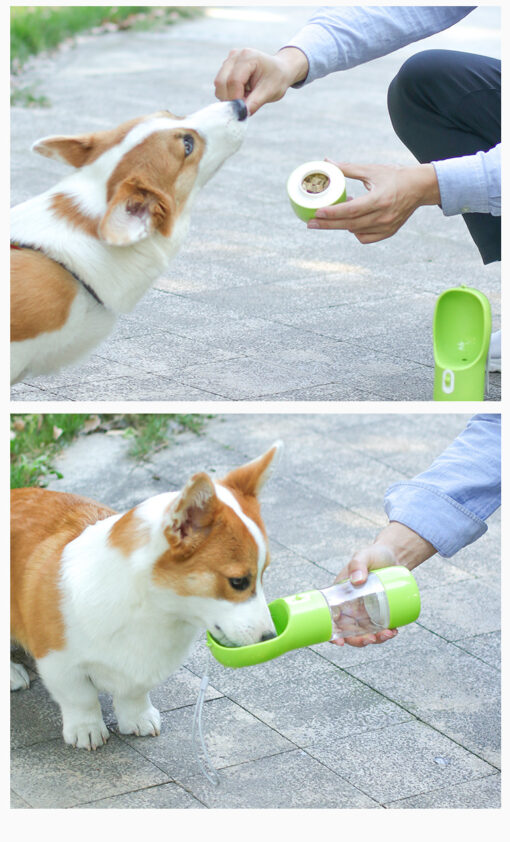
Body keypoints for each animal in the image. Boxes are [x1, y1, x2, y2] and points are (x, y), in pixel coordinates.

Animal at [9, 442, 280, 744]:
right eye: (238, 582)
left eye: (263, 573)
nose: (270, 637)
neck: (154, 609)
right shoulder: (58, 661)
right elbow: (80, 698)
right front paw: (86, 730)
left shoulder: (146, 668)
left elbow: (134, 694)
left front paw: (138, 719)